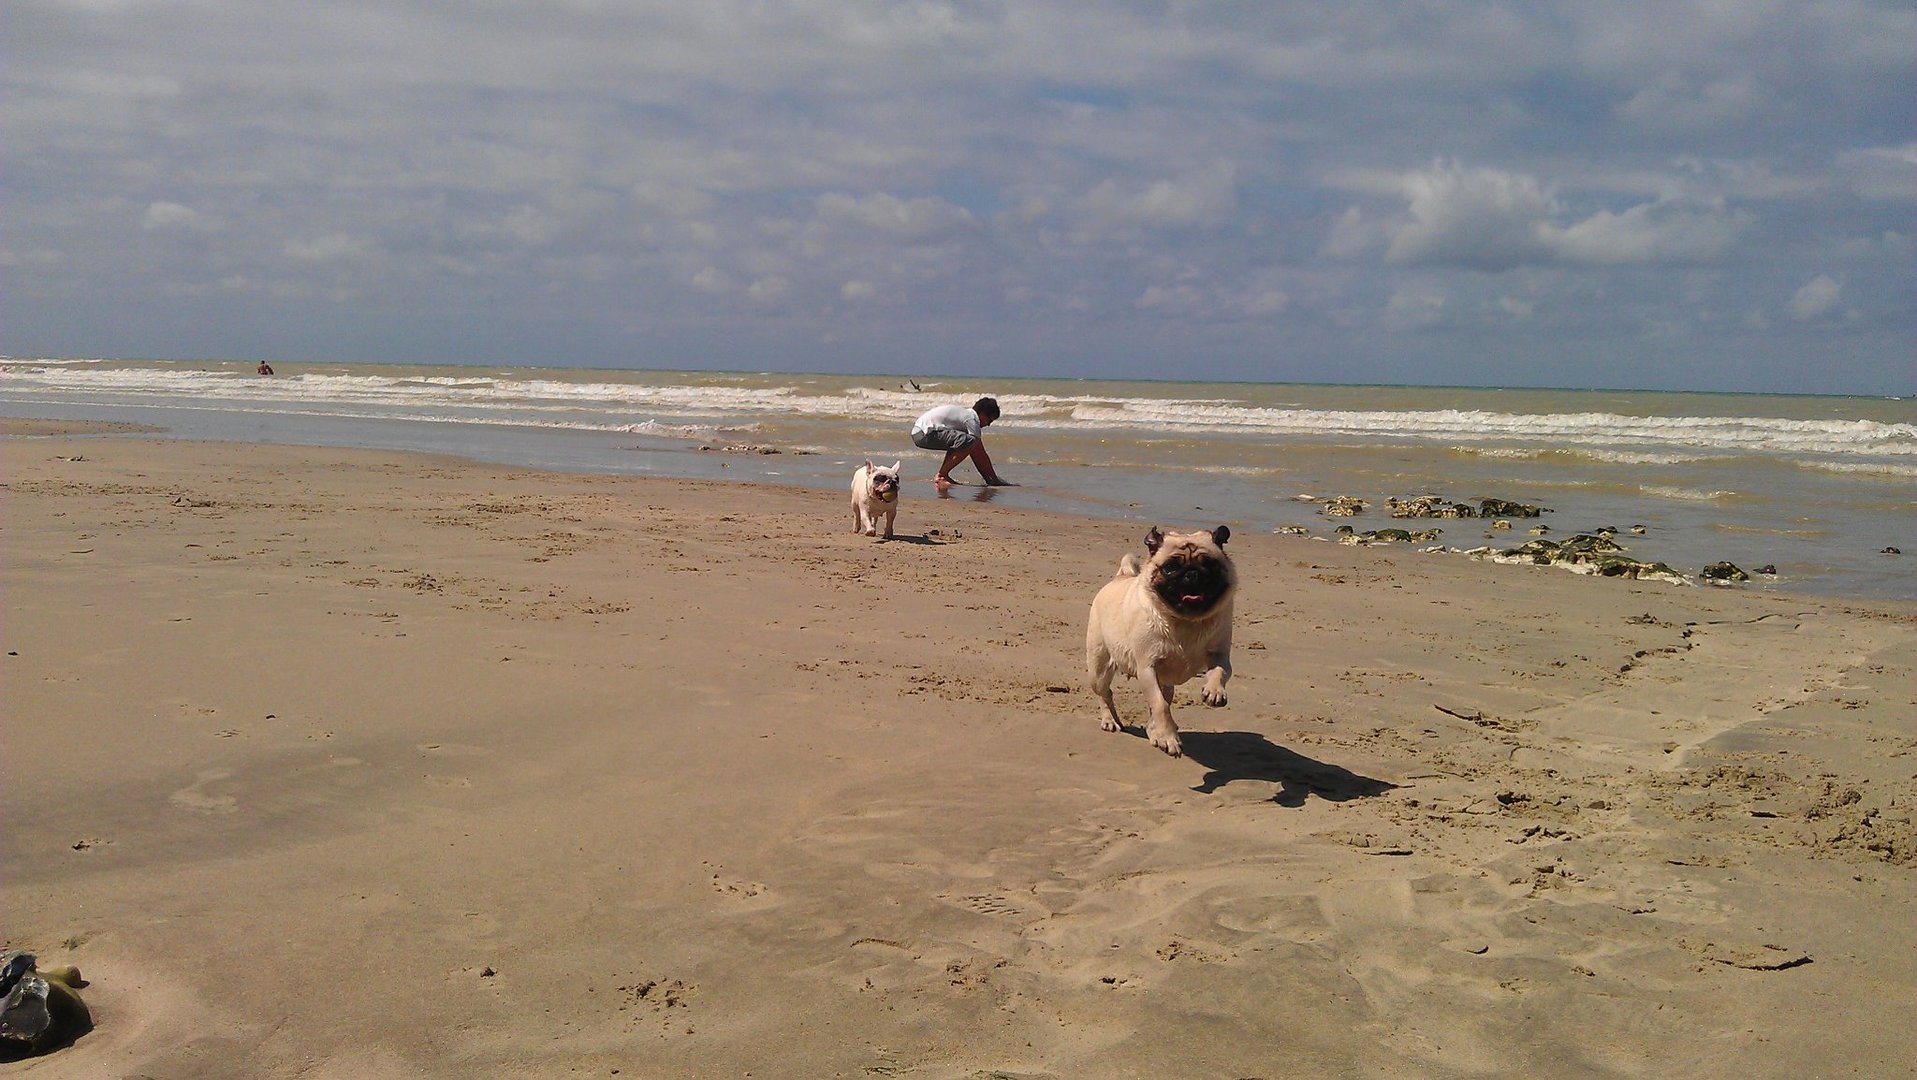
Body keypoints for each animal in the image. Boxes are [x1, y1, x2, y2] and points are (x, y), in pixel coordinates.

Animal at [1088, 529, 1234, 755]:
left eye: (1209, 564)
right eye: (1170, 567)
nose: (1192, 573)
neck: (1185, 621)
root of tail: (1121, 576)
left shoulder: (1220, 655)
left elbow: (1220, 671)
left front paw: (1214, 691)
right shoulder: (1147, 668)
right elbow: (1160, 706)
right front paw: (1168, 737)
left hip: (1166, 683)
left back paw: (1152, 731)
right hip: (1099, 669)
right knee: (1105, 693)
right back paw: (1110, 720)